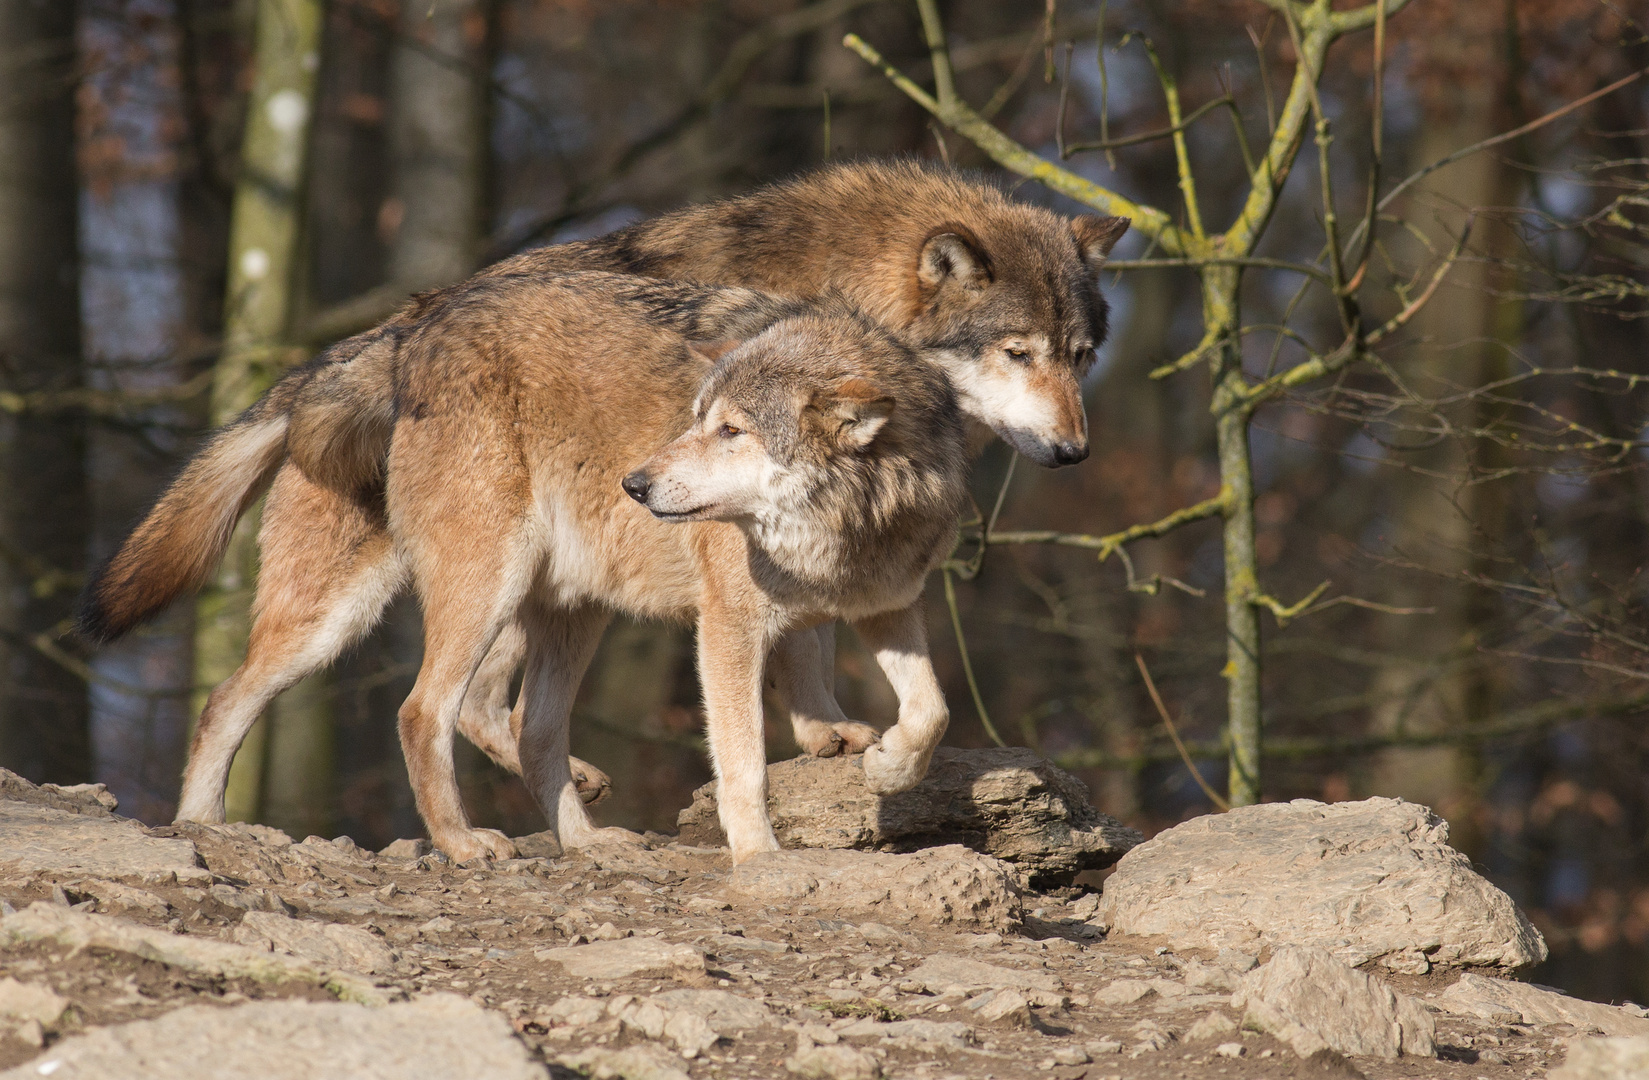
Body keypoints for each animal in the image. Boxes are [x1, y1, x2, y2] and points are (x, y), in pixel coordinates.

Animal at [93, 277, 963, 864]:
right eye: (699, 422)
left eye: (732, 432)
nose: (635, 485)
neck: (846, 526)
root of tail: (400, 341)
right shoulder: (728, 628)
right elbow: (743, 760)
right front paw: (757, 857)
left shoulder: (890, 607)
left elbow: (932, 709)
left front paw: (888, 766)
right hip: (441, 601)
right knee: (406, 710)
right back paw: (451, 842)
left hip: (555, 615)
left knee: (521, 727)